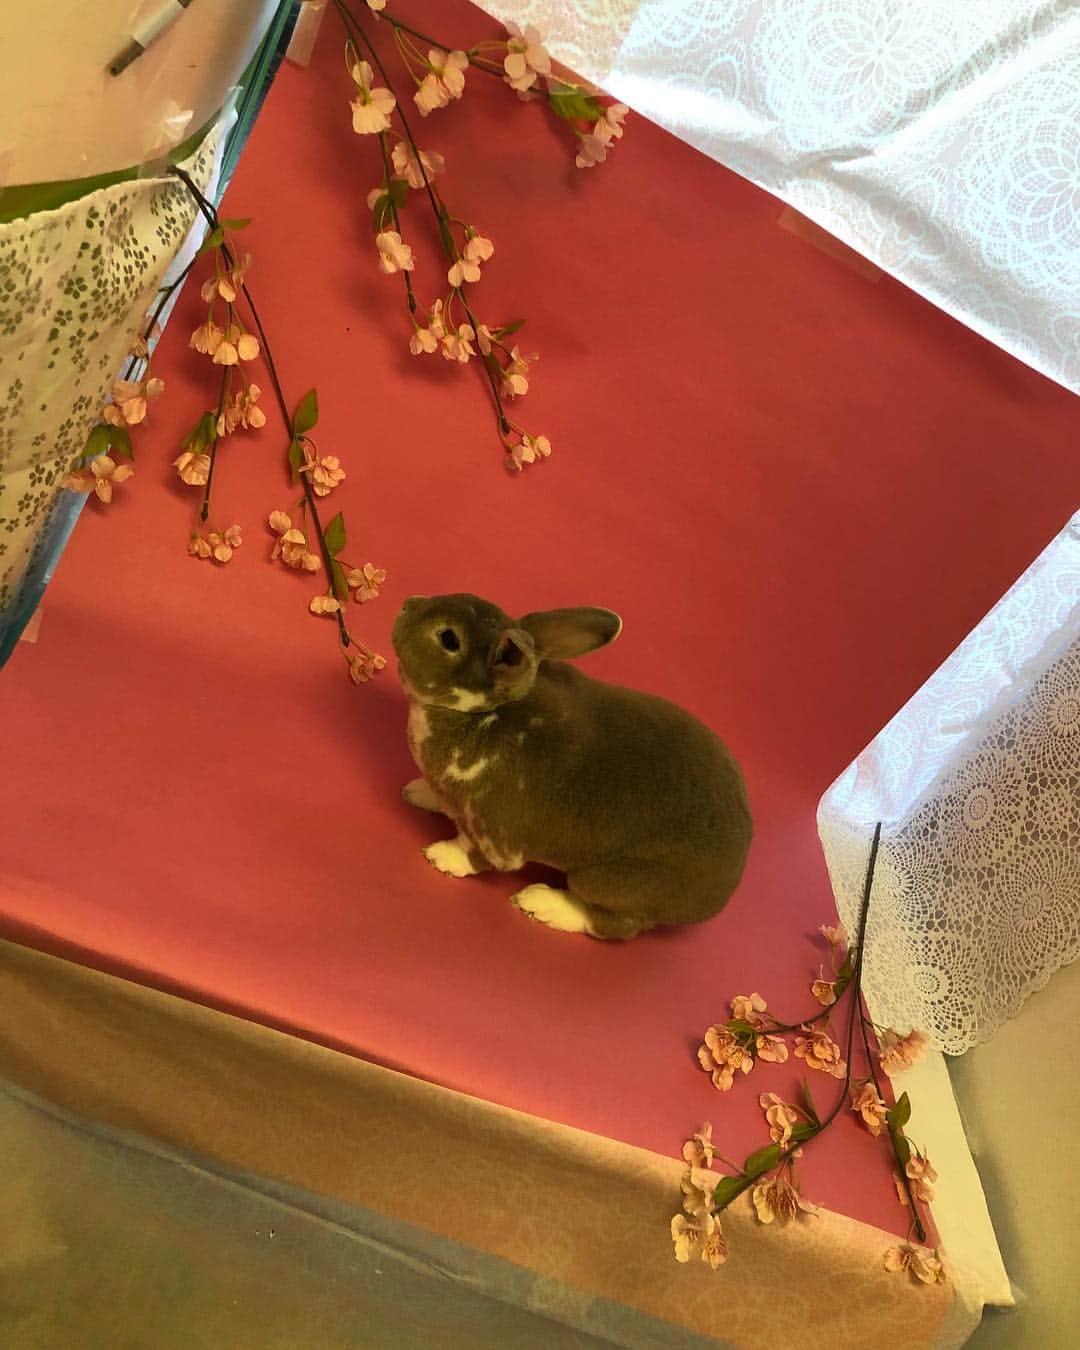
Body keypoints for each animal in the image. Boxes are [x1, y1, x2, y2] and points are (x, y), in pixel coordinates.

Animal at [391, 594, 752, 939]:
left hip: (610, 881)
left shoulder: (493, 832)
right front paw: (418, 792)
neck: (481, 714)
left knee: (616, 925)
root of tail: (728, 884)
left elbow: (472, 851)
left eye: (448, 638)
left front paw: (443, 856)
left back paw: (544, 904)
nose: (406, 605)